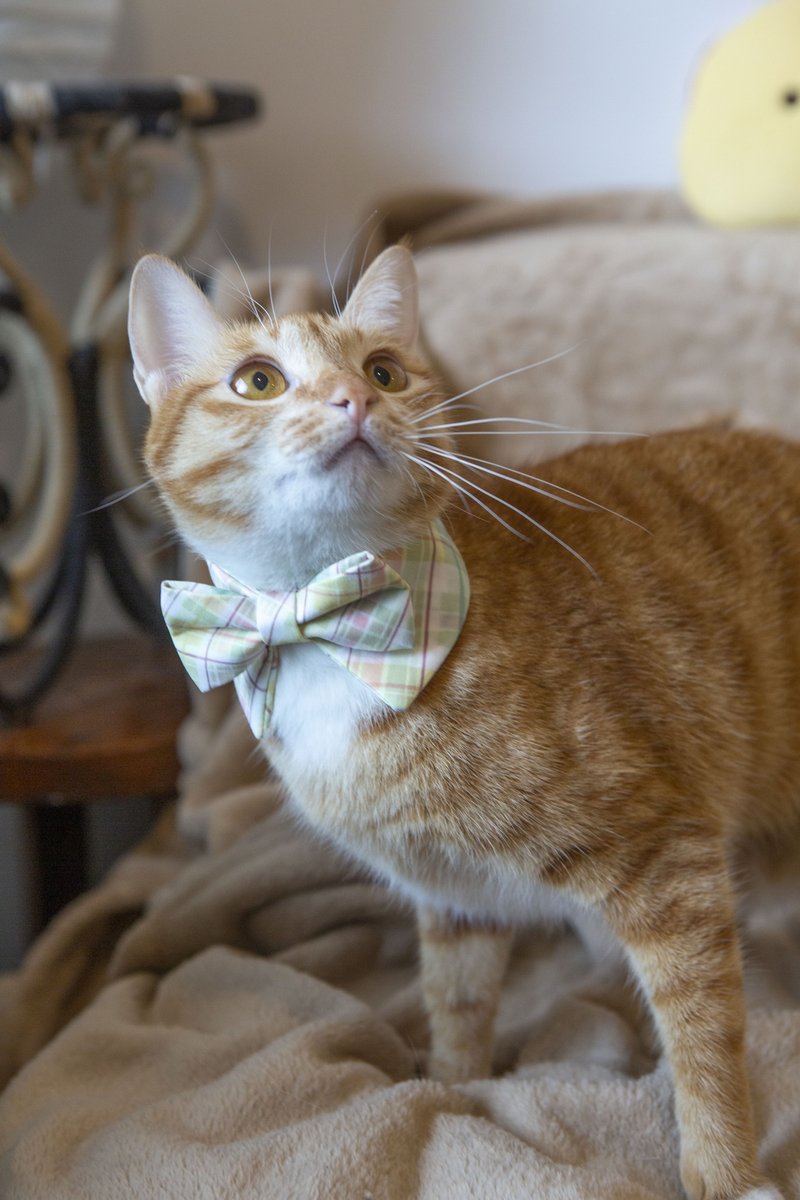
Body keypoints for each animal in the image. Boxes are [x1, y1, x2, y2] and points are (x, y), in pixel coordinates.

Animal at [130, 246, 796, 1200]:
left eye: (384, 371)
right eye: (258, 380)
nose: (355, 399)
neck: (330, 630)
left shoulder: (669, 863)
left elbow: (704, 1037)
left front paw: (726, 1170)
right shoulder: (455, 896)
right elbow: (458, 1002)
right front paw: (450, 1088)